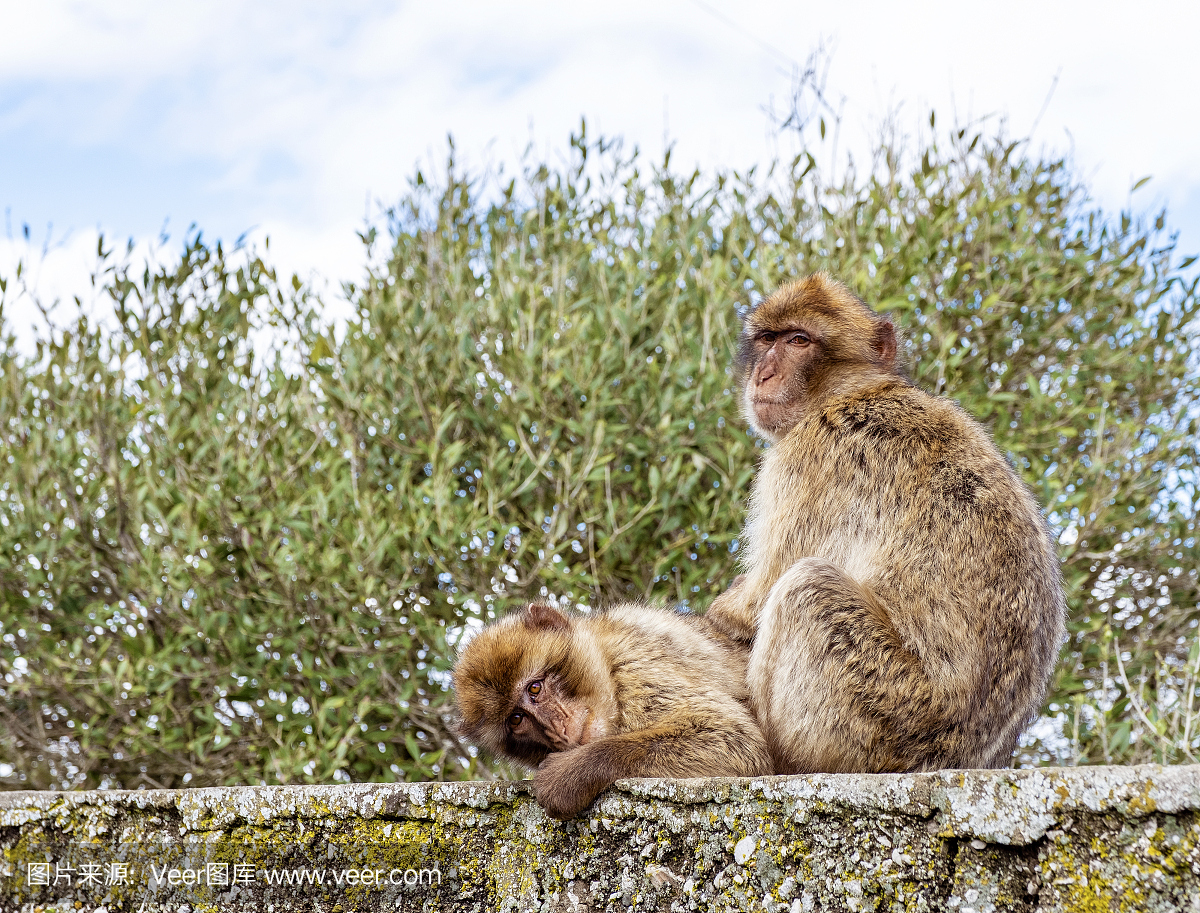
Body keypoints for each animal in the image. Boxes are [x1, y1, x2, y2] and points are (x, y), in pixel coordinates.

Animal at [453, 597, 772, 820]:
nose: (556, 729)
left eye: (534, 688)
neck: (605, 656)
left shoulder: (635, 667)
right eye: (516, 719)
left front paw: (568, 775)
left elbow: (734, 738)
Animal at [705, 272, 1065, 777]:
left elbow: (756, 600)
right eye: (767, 339)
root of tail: (955, 757)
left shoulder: (810, 457)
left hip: (882, 711)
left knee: (806, 587)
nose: (764, 374)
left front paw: (721, 613)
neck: (852, 391)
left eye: (799, 341)